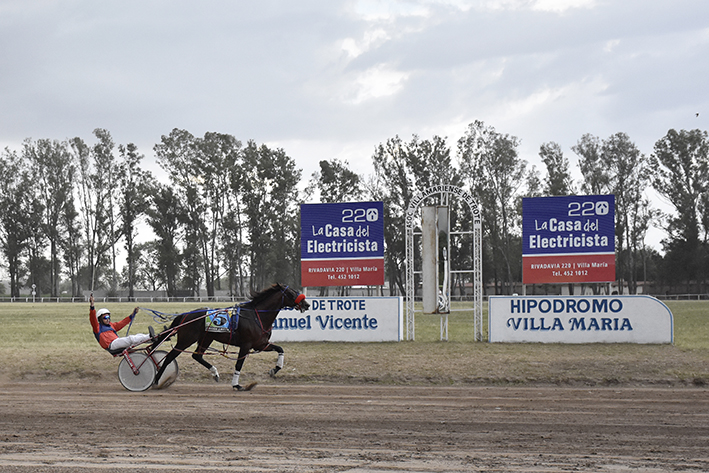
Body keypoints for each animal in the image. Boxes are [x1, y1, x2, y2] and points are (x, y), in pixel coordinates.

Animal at [151, 282, 308, 390]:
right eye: (292, 293)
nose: (306, 304)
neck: (257, 316)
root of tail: (185, 315)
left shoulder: (261, 344)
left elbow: (280, 349)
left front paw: (274, 369)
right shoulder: (246, 345)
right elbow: (239, 364)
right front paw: (236, 385)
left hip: (206, 338)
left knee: (197, 356)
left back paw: (215, 373)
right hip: (186, 339)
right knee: (170, 357)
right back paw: (156, 381)